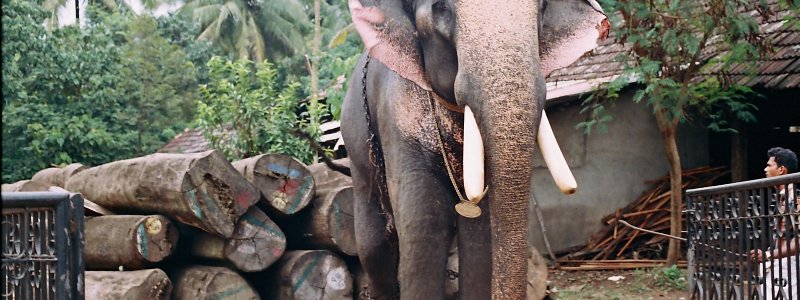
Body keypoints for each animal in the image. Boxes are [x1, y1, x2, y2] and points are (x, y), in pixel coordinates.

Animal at [340, 1, 608, 298]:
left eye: (541, 9)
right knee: (374, 244)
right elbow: (424, 223)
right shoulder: (397, 117)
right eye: (440, 8)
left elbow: (479, 233)